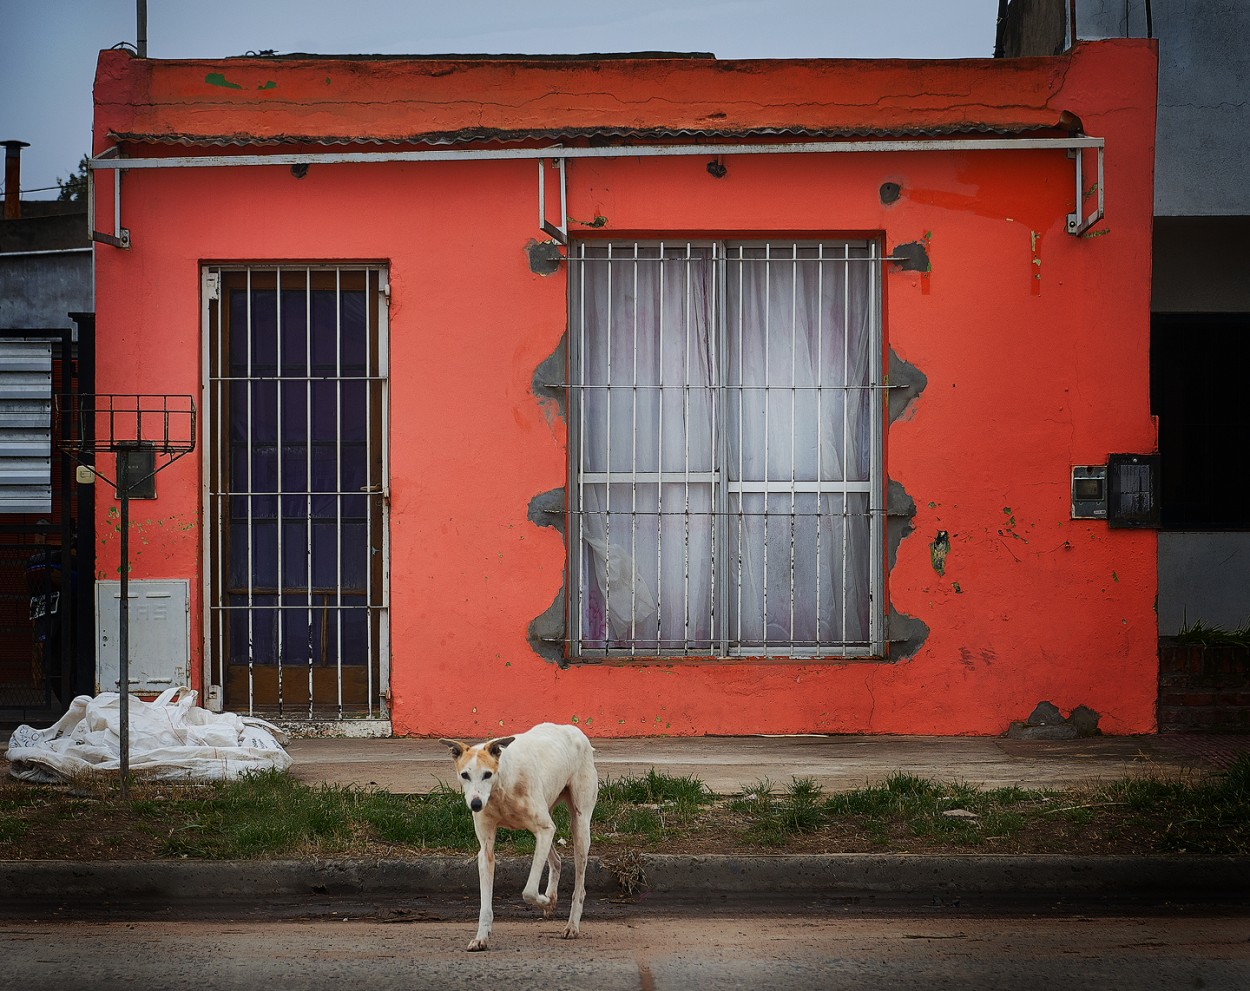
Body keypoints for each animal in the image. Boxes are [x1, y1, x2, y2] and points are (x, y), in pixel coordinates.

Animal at [437, 724, 597, 944]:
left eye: (487, 774)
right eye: (464, 775)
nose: (476, 804)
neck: (501, 786)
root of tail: (573, 729)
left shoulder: (544, 829)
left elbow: (529, 891)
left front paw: (543, 900)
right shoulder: (487, 848)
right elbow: (485, 902)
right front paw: (481, 937)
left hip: (579, 827)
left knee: (579, 886)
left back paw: (571, 925)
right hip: (546, 820)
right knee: (556, 860)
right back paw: (552, 895)